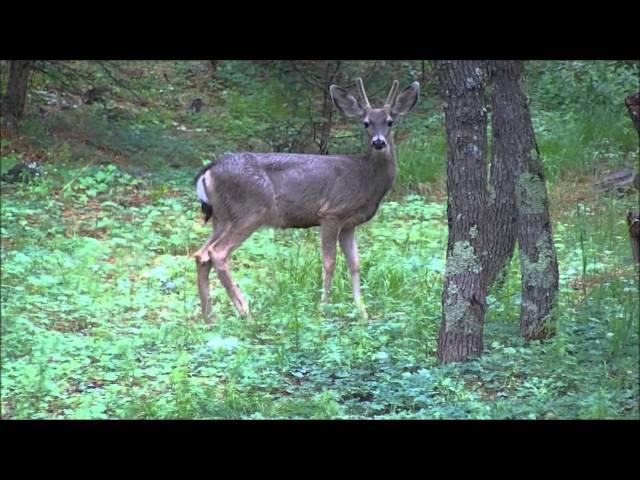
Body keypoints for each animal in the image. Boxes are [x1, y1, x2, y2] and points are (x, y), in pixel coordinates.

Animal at [192, 77, 422, 320]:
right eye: (366, 123)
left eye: (390, 122)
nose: (378, 142)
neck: (365, 178)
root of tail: (208, 171)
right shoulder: (331, 213)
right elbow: (329, 262)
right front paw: (323, 309)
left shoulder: (349, 224)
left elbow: (355, 263)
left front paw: (362, 313)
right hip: (251, 211)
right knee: (217, 253)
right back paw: (245, 311)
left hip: (222, 217)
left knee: (201, 254)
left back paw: (209, 316)